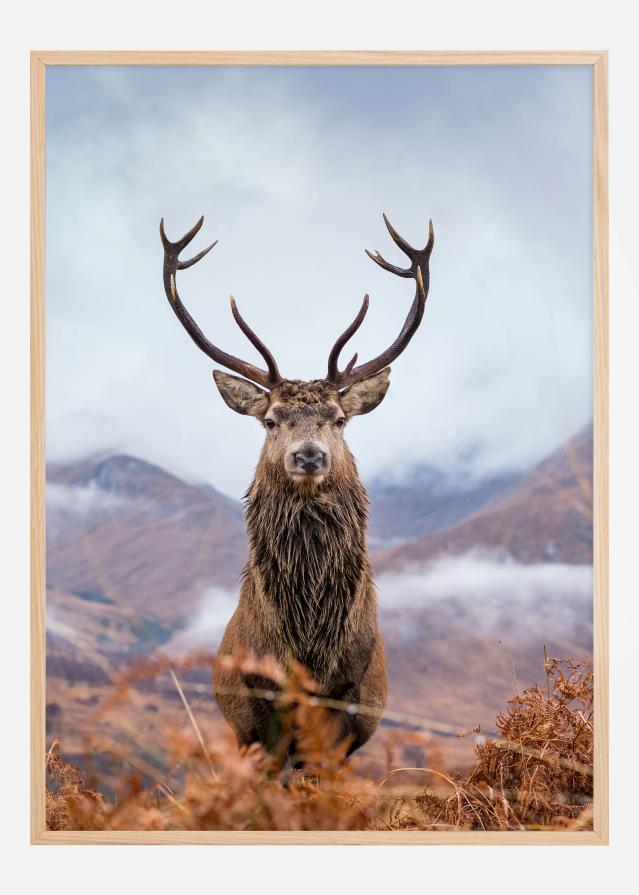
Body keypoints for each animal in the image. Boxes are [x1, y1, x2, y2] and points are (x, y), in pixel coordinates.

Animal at [160, 212, 434, 760]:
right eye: (270, 420)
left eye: (340, 419)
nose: (309, 455)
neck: (309, 648)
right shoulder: (257, 710)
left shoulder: (346, 706)